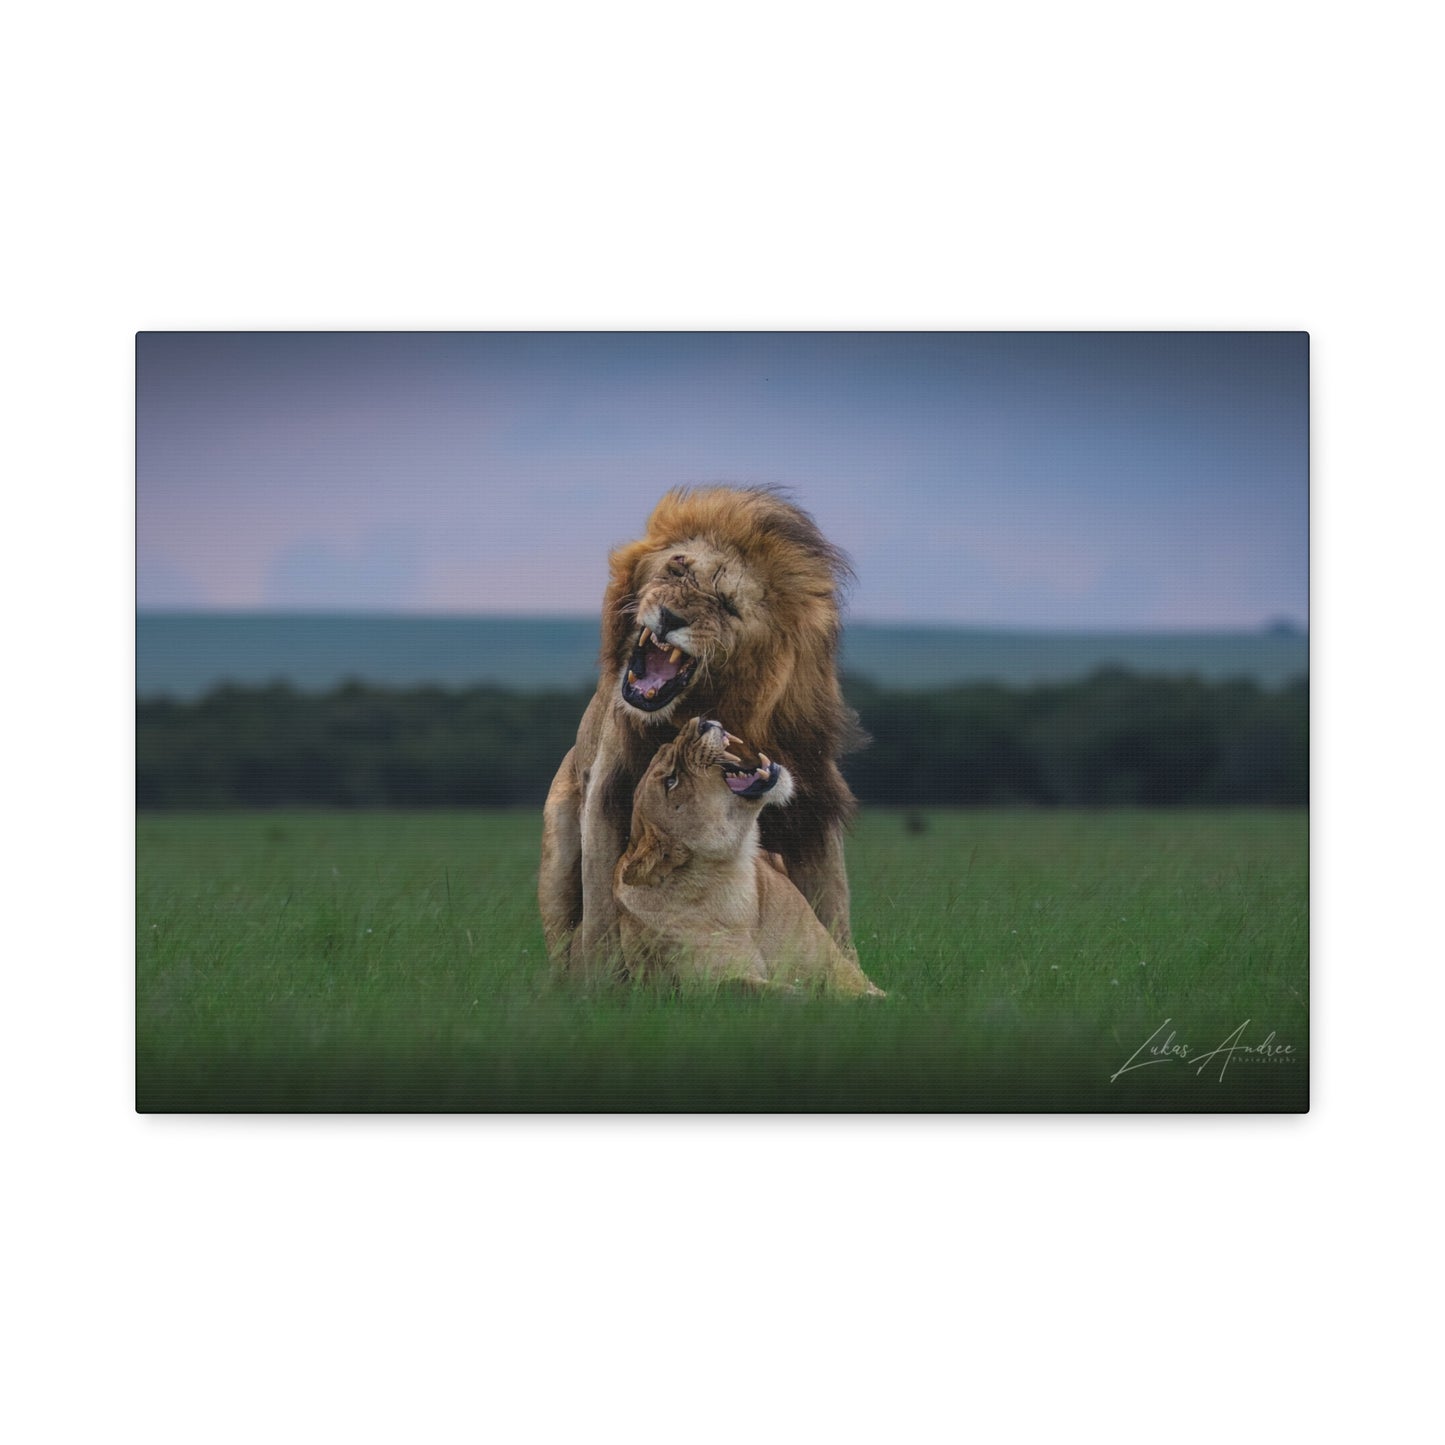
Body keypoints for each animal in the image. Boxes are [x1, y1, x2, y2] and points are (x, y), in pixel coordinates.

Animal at [538, 485, 863, 976]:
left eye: (727, 605)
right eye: (677, 568)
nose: (670, 617)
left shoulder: (813, 806)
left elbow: (833, 913)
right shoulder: (609, 796)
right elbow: (602, 918)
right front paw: (604, 982)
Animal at [614, 718, 884, 996]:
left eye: (667, 748)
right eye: (671, 781)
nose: (701, 722)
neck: (734, 871)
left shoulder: (836, 965)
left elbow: (876, 994)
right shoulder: (706, 986)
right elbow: (795, 995)